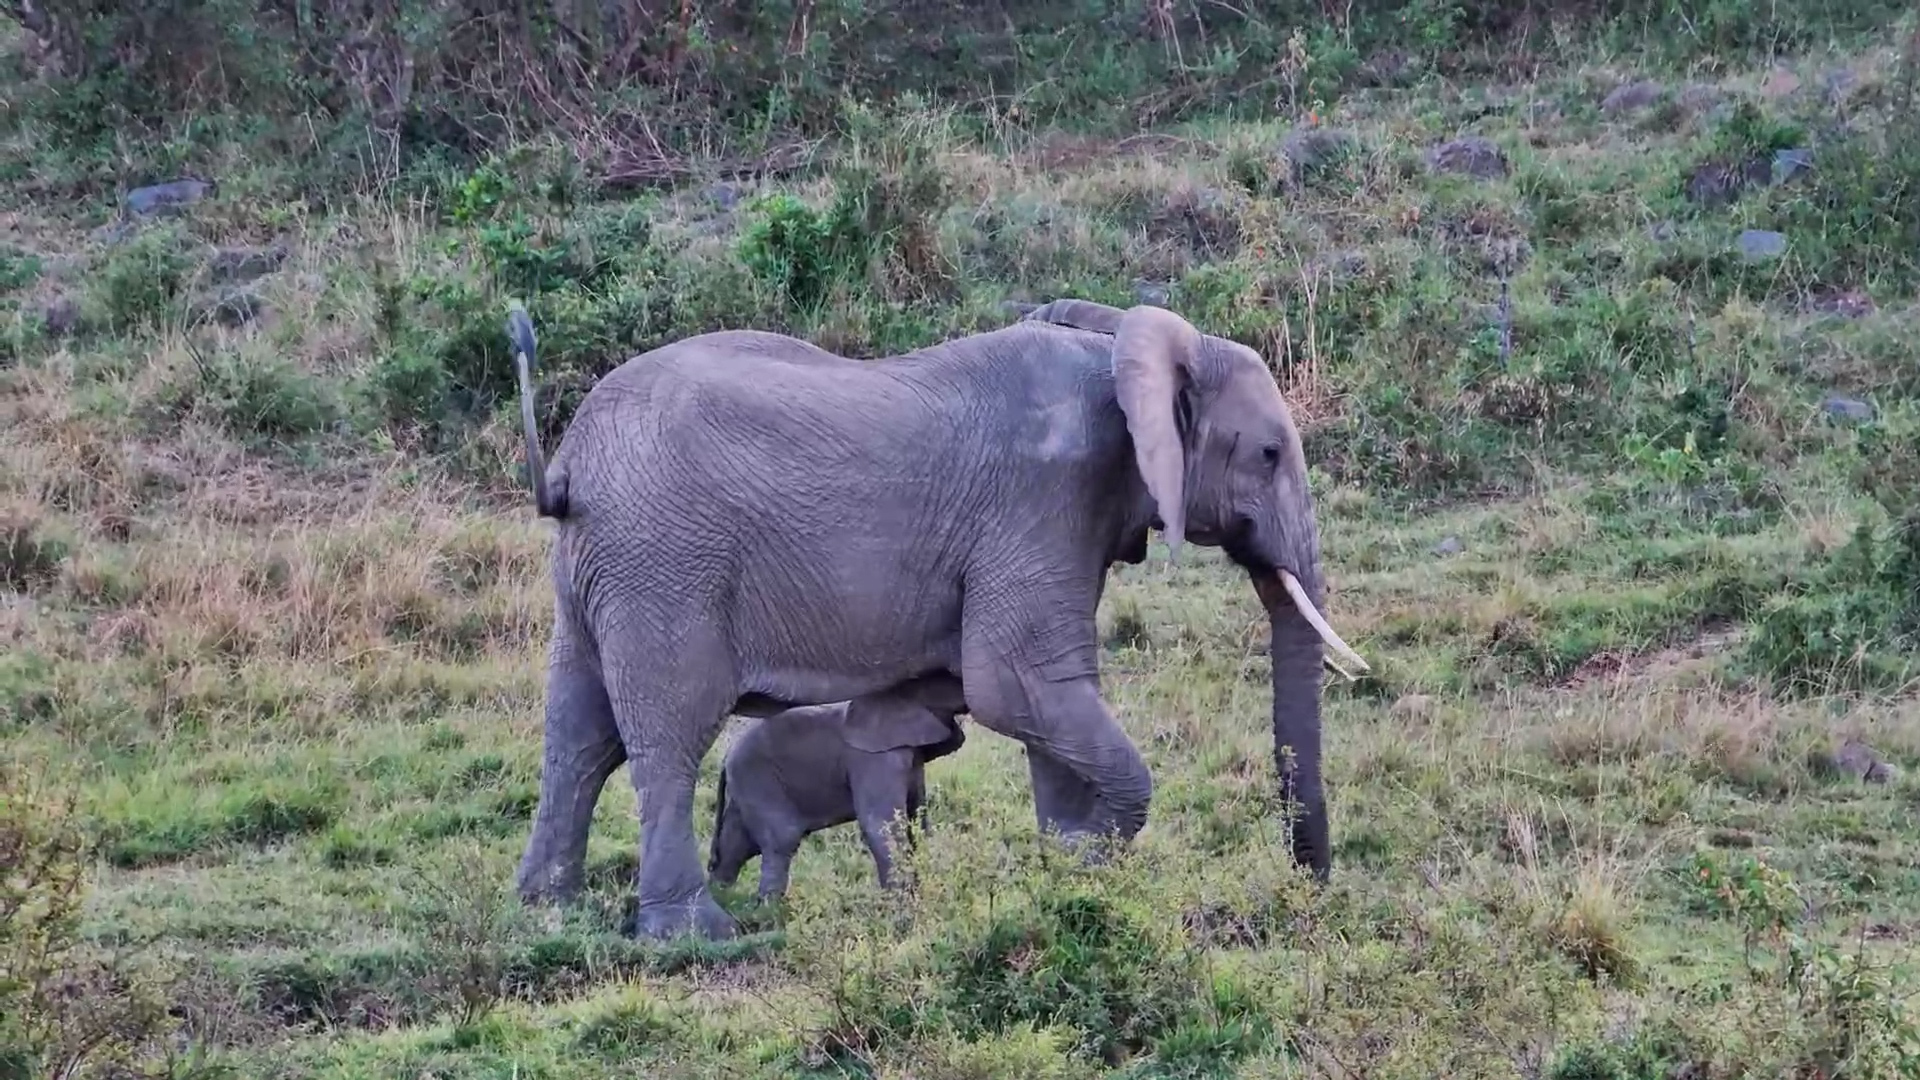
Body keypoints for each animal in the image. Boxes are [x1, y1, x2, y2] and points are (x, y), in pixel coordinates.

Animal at [707, 683, 967, 900]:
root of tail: (726, 758)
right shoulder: (872, 760)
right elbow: (879, 825)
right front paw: (901, 908)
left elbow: (916, 820)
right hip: (759, 780)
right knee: (781, 840)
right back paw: (768, 909)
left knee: (735, 843)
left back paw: (722, 895)